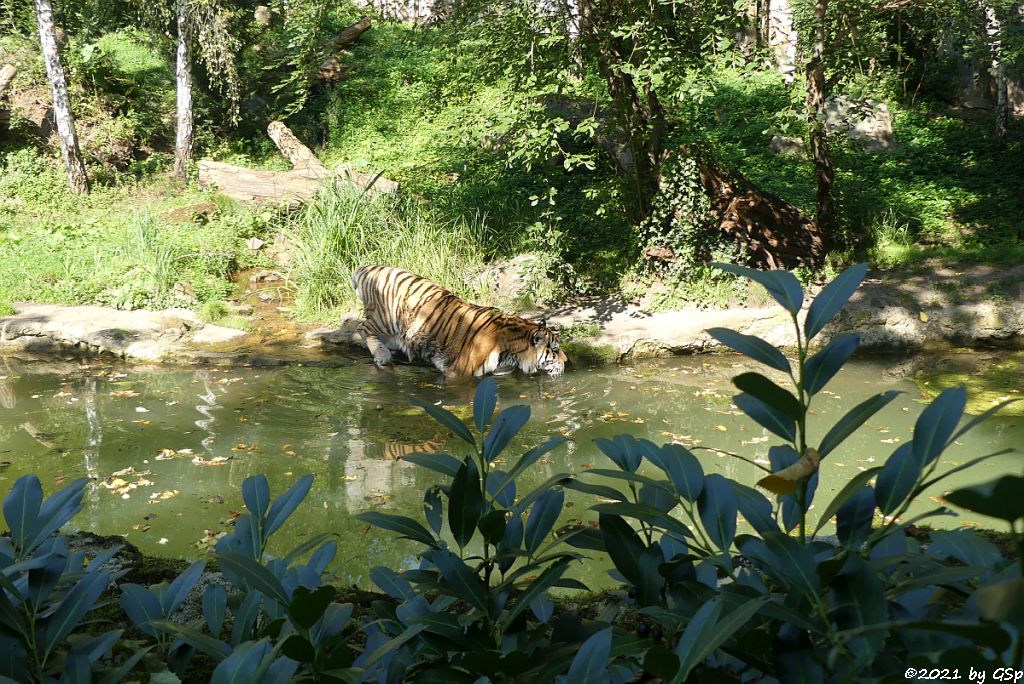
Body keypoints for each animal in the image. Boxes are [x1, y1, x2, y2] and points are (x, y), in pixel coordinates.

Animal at [348, 264, 565, 378]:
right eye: (554, 350)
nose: (567, 362)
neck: (513, 352)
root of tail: (367, 267)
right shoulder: (459, 373)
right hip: (386, 318)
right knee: (362, 327)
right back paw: (382, 355)